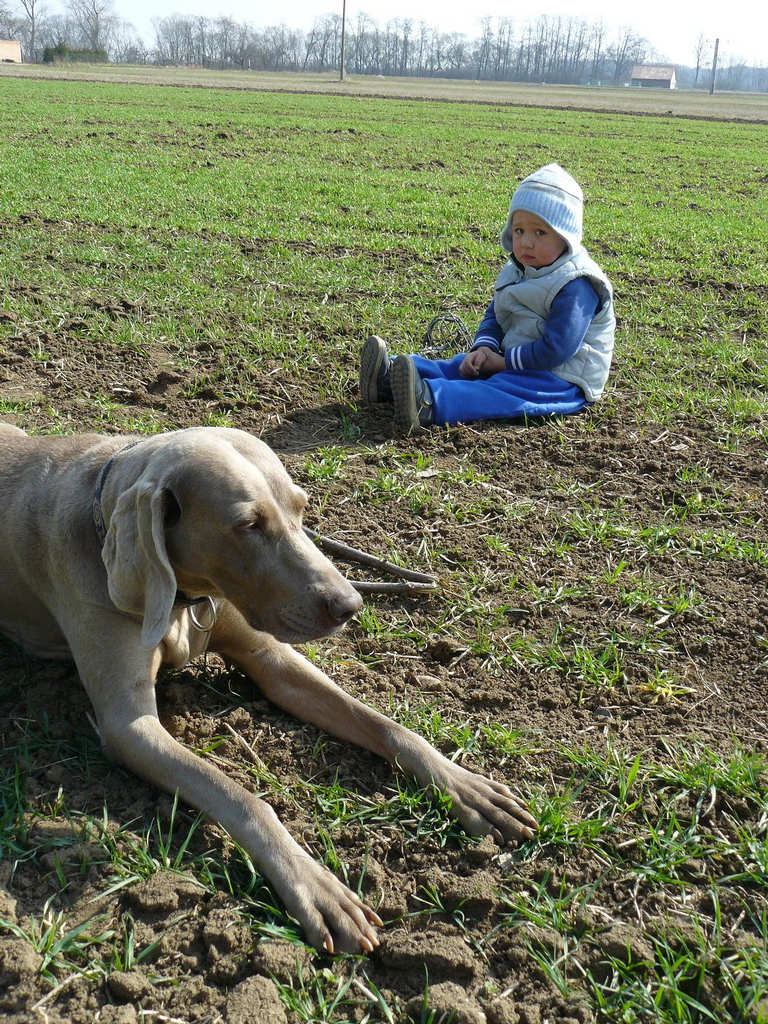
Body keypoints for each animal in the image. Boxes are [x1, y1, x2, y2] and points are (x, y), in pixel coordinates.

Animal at [0, 423, 536, 950]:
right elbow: (245, 799)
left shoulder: (271, 658)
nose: (350, 605)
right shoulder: (128, 725)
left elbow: (386, 725)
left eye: (301, 508)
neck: (186, 599)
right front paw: (316, 886)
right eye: (248, 525)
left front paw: (466, 787)